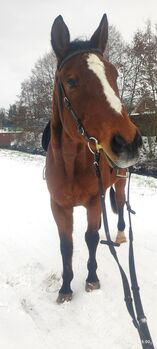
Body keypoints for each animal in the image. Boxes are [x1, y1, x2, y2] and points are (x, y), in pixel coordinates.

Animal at [44, 14, 142, 302]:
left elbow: (90, 238)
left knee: (120, 204)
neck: (70, 165)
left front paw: (91, 279)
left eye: (114, 74)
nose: (128, 142)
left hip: (119, 182)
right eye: (70, 80)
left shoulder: (93, 203)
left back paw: (119, 236)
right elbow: (67, 245)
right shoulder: (59, 207)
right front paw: (66, 287)